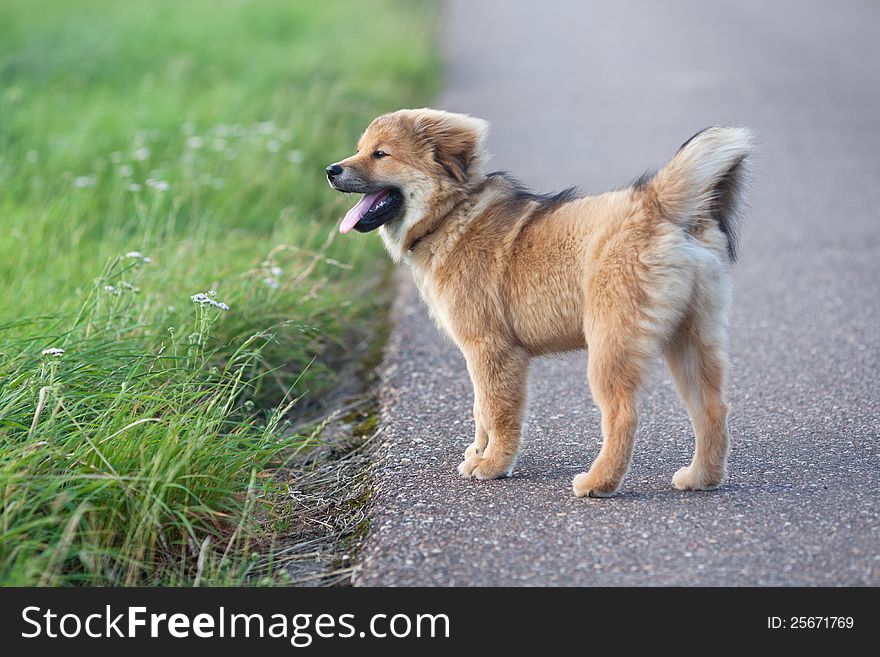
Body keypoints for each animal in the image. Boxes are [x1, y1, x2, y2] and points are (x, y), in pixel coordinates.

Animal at [326, 109, 752, 498]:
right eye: (360, 149)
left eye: (380, 154)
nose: (330, 169)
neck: (451, 214)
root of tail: (655, 202)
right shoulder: (480, 355)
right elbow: (480, 409)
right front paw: (479, 453)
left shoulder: (492, 349)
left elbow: (497, 411)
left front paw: (494, 464)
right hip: (692, 339)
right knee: (712, 408)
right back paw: (701, 477)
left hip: (611, 344)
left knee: (623, 415)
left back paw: (598, 482)